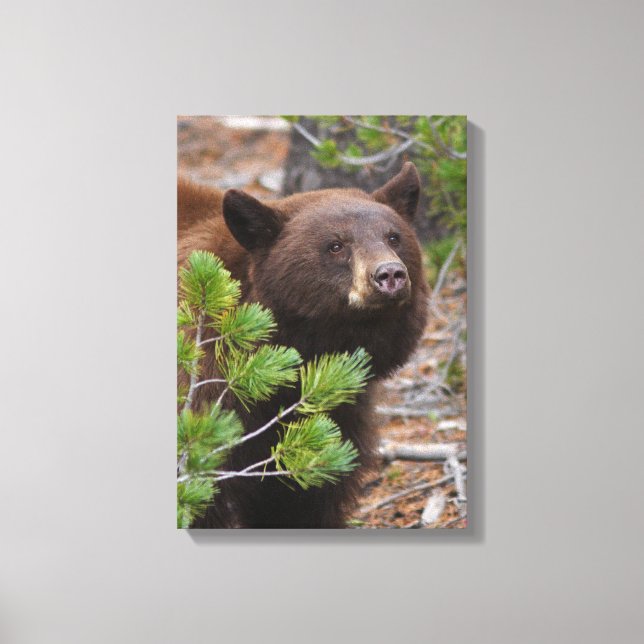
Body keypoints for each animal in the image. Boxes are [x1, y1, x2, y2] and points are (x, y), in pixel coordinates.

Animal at [178, 162, 428, 528]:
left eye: (393, 236)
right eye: (336, 245)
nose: (390, 275)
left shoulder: (332, 415)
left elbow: (302, 496)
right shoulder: (206, 398)